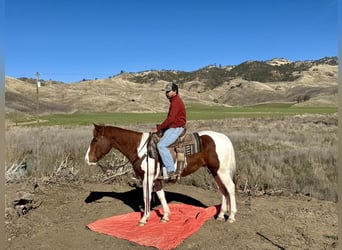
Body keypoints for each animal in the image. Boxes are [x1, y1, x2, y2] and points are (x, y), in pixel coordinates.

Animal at [84, 124, 236, 226]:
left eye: (95, 140)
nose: (86, 159)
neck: (140, 149)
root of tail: (224, 138)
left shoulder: (147, 178)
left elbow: (146, 197)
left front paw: (144, 219)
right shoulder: (156, 180)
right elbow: (161, 196)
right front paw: (165, 216)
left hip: (221, 171)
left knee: (230, 188)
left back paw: (231, 216)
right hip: (215, 171)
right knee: (223, 190)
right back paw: (221, 215)